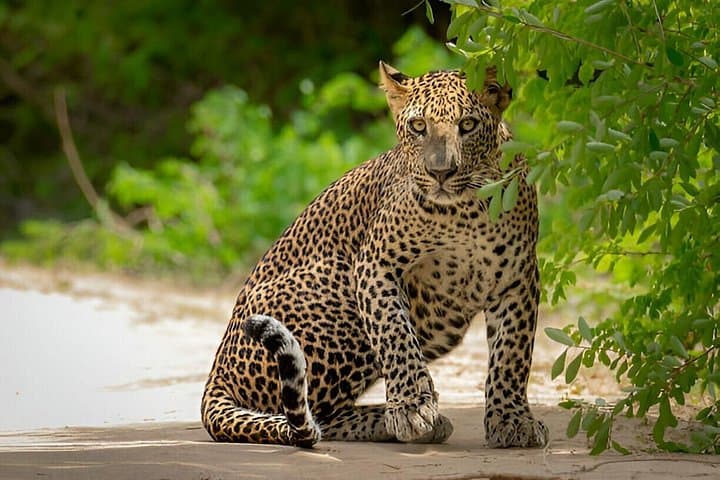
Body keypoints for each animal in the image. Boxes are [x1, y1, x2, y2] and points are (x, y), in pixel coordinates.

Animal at [201, 61, 549, 449]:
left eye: (468, 125)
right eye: (418, 126)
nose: (441, 173)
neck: (465, 212)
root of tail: (215, 373)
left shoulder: (517, 278)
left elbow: (512, 353)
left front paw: (512, 420)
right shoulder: (374, 264)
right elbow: (394, 334)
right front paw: (412, 408)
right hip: (336, 285)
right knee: (308, 412)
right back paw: (395, 420)